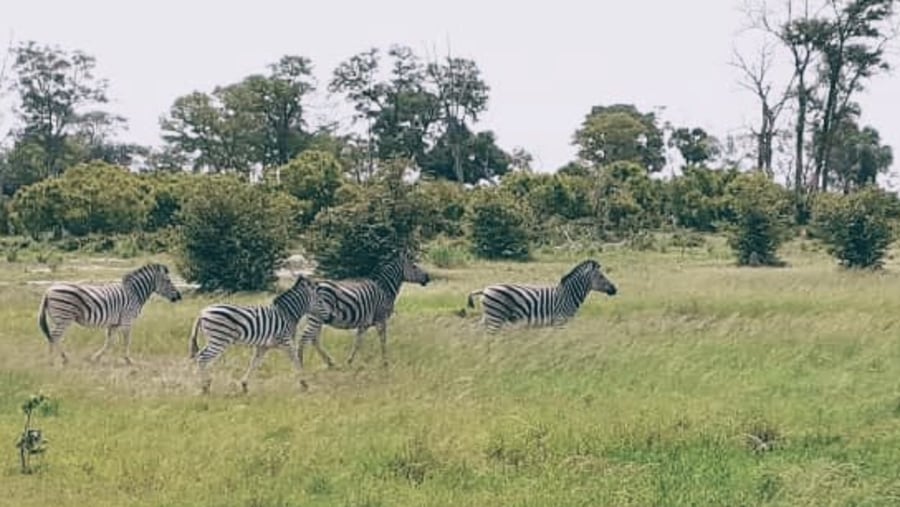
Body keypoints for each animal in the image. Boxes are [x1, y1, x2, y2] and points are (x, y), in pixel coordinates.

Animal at [38, 264, 182, 368]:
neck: (135, 293)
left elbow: (109, 342)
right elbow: (126, 341)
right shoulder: (127, 320)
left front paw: (96, 358)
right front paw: (128, 360)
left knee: (53, 336)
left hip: (58, 319)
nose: (179, 296)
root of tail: (48, 290)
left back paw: (59, 359)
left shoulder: (114, 323)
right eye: (168, 281)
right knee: (54, 337)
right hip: (64, 317)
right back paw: (54, 360)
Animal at [188, 276, 318, 394]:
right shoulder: (285, 341)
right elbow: (296, 360)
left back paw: (205, 385)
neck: (286, 314)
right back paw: (205, 386)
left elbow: (254, 363)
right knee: (202, 357)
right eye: (320, 299)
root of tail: (202, 312)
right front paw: (304, 383)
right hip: (219, 339)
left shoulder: (263, 346)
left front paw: (244, 385)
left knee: (200, 355)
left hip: (214, 340)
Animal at [298, 253, 432, 370]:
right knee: (305, 338)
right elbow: (383, 340)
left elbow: (358, 342)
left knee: (314, 339)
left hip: (318, 318)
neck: (385, 289)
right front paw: (385, 363)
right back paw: (300, 364)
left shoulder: (365, 323)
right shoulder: (381, 318)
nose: (428, 278)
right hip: (317, 317)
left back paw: (330, 363)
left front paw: (350, 361)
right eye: (414, 266)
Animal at [464, 258, 620, 334]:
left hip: (490, 315)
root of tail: (485, 289)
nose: (615, 290)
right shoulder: (560, 321)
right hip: (495, 316)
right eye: (601, 276)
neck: (568, 295)